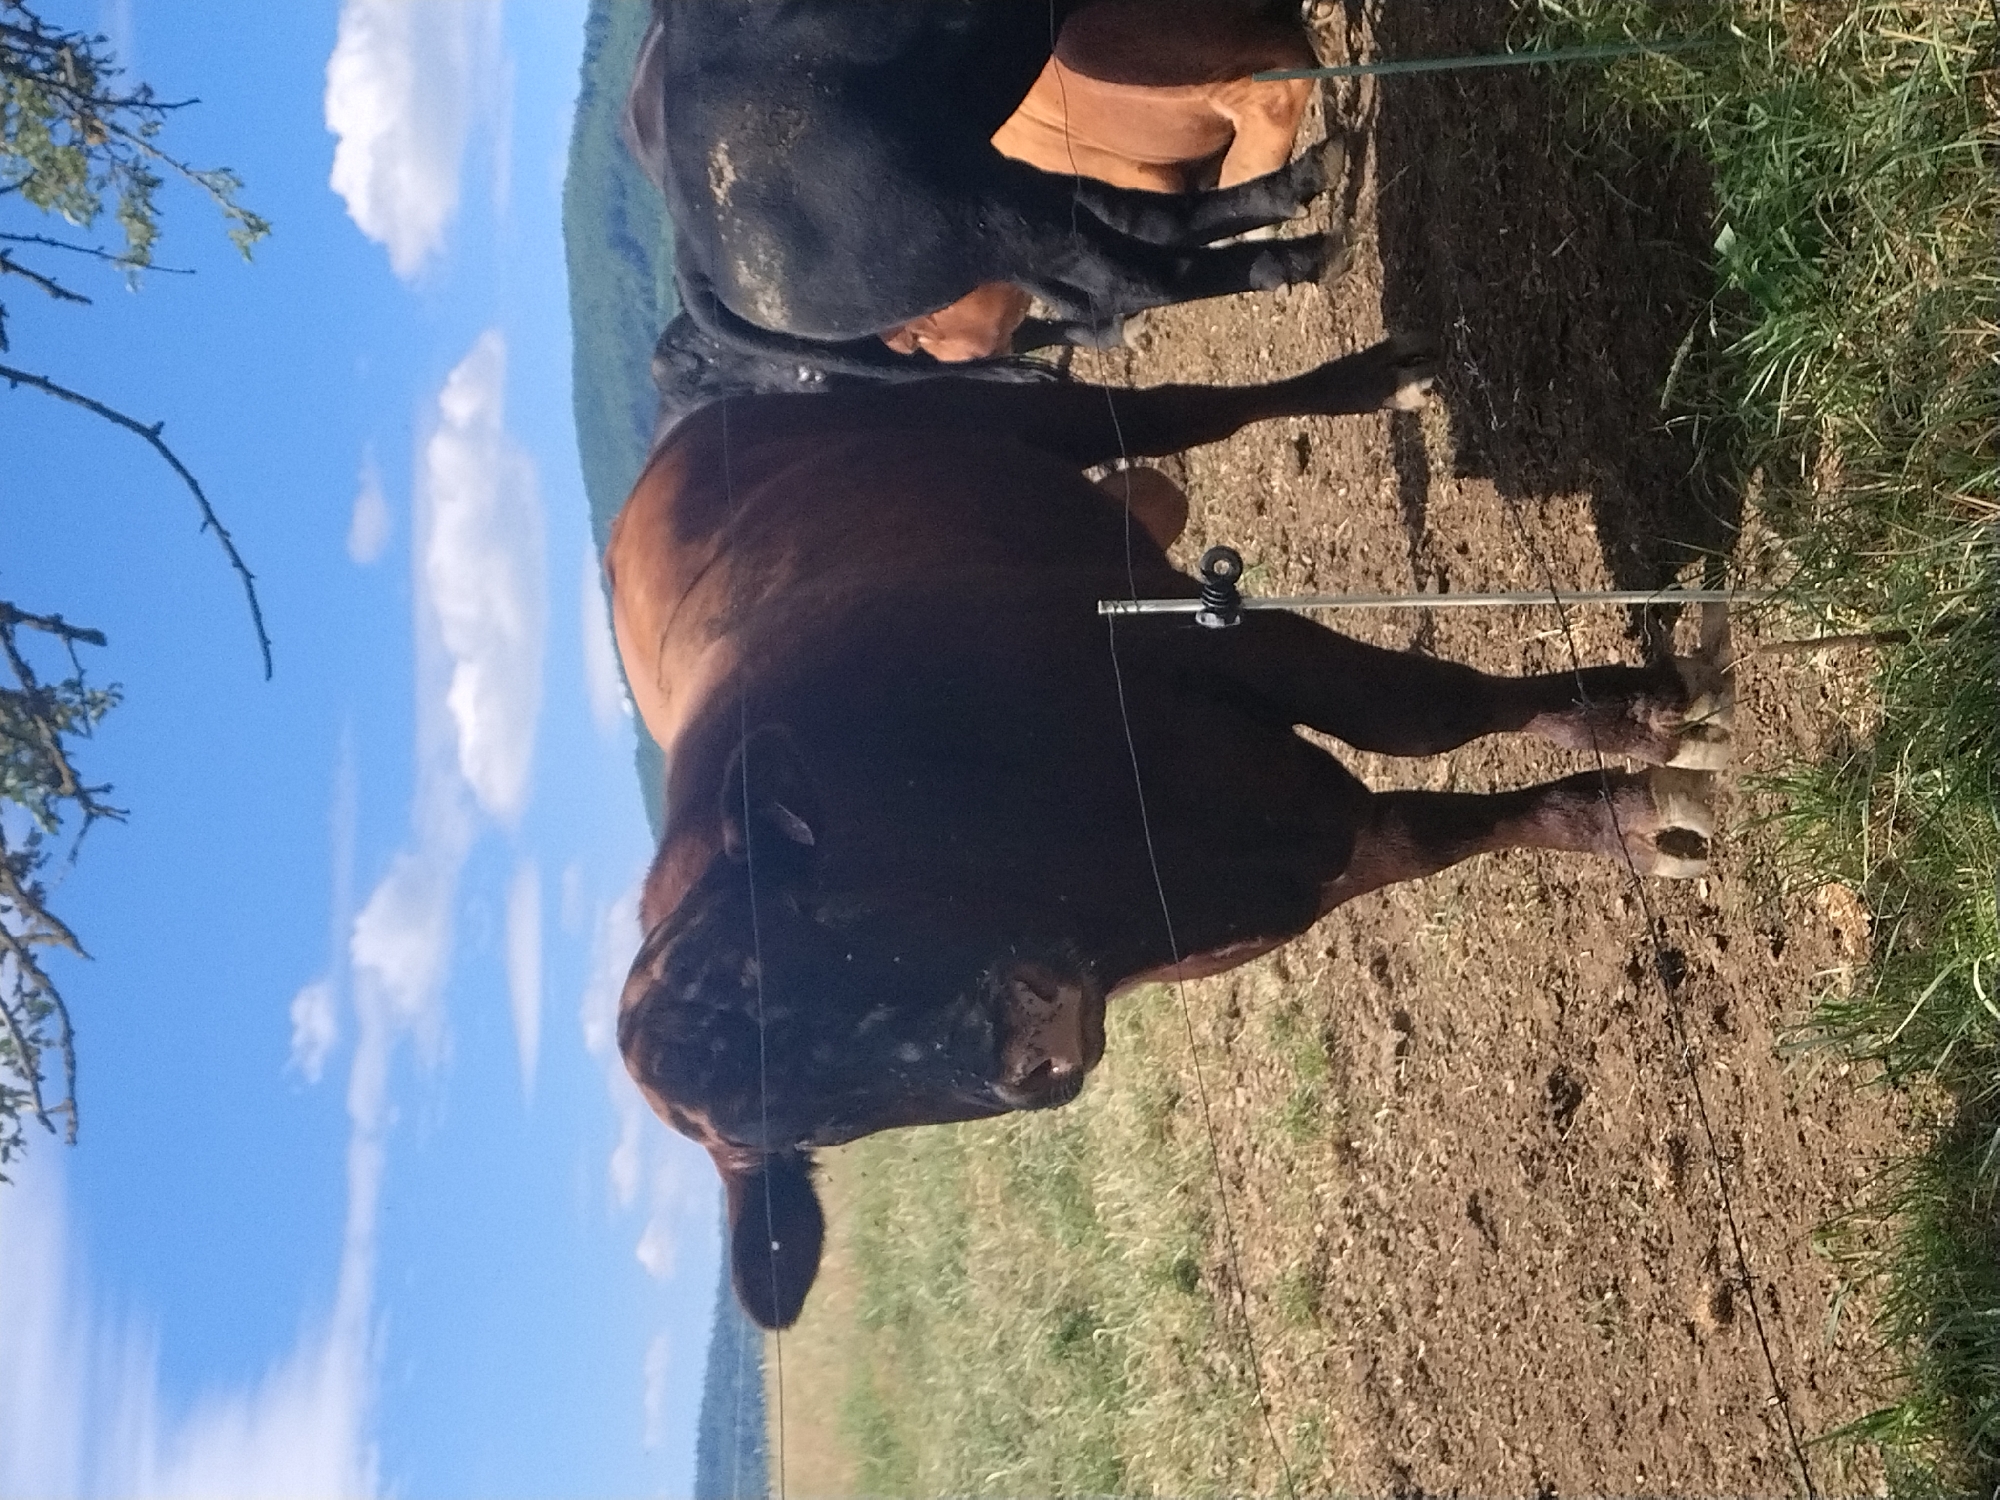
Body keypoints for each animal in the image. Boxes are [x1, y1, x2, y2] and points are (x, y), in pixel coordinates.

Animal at [604, 342, 1735, 1330]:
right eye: (815, 1125)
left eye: (808, 922)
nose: (1029, 1040)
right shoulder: (1321, 852)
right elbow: (1441, 824)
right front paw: (1628, 815)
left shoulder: (1208, 635)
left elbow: (1428, 712)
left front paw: (1636, 718)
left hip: (1018, 417)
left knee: (1178, 411)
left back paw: (1374, 380)